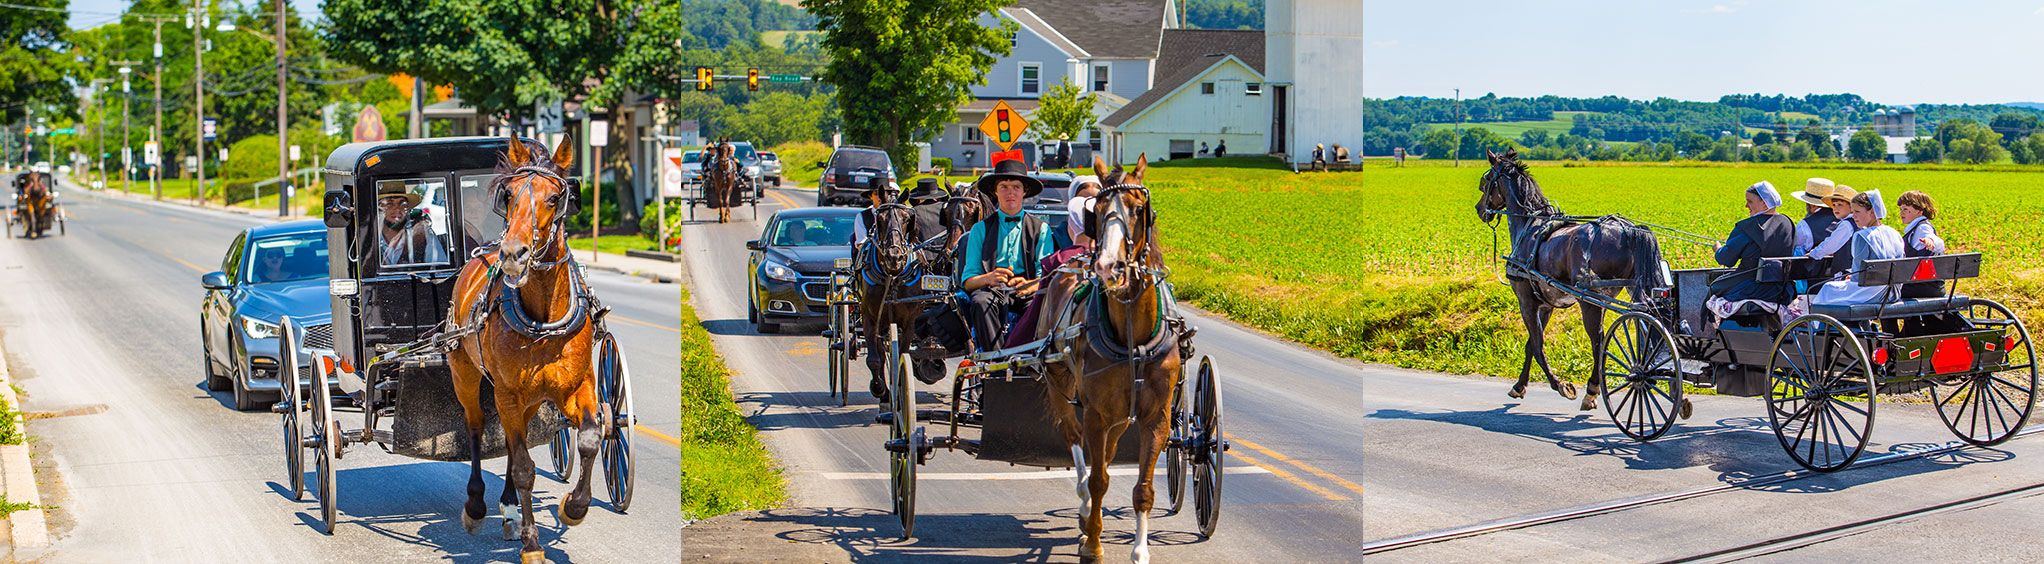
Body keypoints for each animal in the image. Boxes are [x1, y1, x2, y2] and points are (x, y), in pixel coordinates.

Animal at [445, 136, 609, 564]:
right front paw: (532, 544)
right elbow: (524, 468)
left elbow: (590, 437)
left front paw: (574, 508)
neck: (543, 317)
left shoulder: (578, 385)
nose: (512, 253)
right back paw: (478, 505)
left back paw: (508, 509)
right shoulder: (507, 393)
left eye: (554, 197)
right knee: (475, 428)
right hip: (465, 374)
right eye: (509, 195)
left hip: (532, 400)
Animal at [1038, 155, 1185, 564]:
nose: (1108, 266)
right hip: (1060, 386)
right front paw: (1093, 543)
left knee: (1109, 451)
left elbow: (1143, 488)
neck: (1133, 337)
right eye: (1098, 211)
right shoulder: (1096, 413)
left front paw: (1140, 550)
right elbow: (1100, 478)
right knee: (1076, 444)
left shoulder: (1156, 418)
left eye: (1138, 209)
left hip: (1120, 416)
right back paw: (1085, 508)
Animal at [1479, 150, 1667, 410]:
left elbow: (1537, 345)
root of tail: (1630, 230)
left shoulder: (1526, 302)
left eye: (1486, 181)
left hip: (1590, 300)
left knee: (1598, 340)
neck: (1530, 225)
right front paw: (1519, 386)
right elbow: (1530, 345)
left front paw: (1561, 385)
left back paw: (1593, 389)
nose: (1480, 209)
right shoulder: (1546, 304)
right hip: (1629, 291)